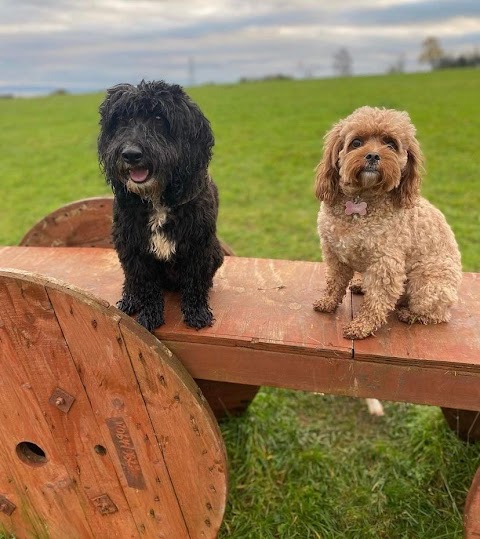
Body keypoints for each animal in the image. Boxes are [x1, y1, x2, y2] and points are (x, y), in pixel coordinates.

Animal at [99, 80, 225, 334]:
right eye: (122, 120)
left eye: (159, 118)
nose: (131, 154)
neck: (157, 199)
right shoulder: (134, 247)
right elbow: (146, 286)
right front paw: (149, 317)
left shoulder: (198, 244)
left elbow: (195, 282)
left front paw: (197, 312)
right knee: (131, 281)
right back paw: (130, 299)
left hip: (215, 252)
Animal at [314, 106, 464, 340]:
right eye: (356, 142)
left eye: (391, 144)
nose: (373, 155)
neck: (361, 200)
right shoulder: (334, 253)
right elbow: (335, 282)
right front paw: (328, 302)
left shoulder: (386, 263)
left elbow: (376, 300)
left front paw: (362, 326)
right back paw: (360, 284)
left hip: (427, 284)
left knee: (437, 314)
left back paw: (411, 315)